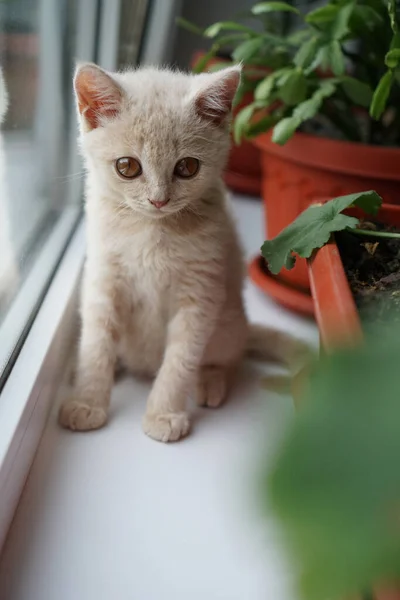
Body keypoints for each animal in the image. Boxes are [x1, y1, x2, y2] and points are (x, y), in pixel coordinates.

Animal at [58, 63, 310, 442]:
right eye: (127, 167)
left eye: (187, 167)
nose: (158, 200)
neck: (152, 231)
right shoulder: (103, 279)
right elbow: (97, 343)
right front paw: (87, 402)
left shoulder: (201, 292)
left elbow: (181, 359)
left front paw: (163, 414)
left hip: (228, 321)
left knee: (227, 358)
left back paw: (211, 382)